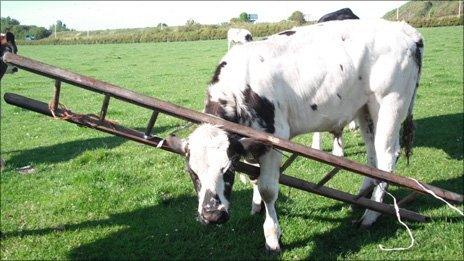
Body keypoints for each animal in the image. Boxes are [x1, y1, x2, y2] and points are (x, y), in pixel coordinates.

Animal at [167, 19, 424, 251]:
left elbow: (268, 189)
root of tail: (405, 30)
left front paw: (272, 236)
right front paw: (256, 206)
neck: (240, 89)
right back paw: (363, 194)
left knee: (387, 158)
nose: (212, 215)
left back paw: (370, 216)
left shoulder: (273, 139)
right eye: (192, 173)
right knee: (372, 156)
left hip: (390, 104)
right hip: (365, 109)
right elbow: (254, 178)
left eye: (227, 169)